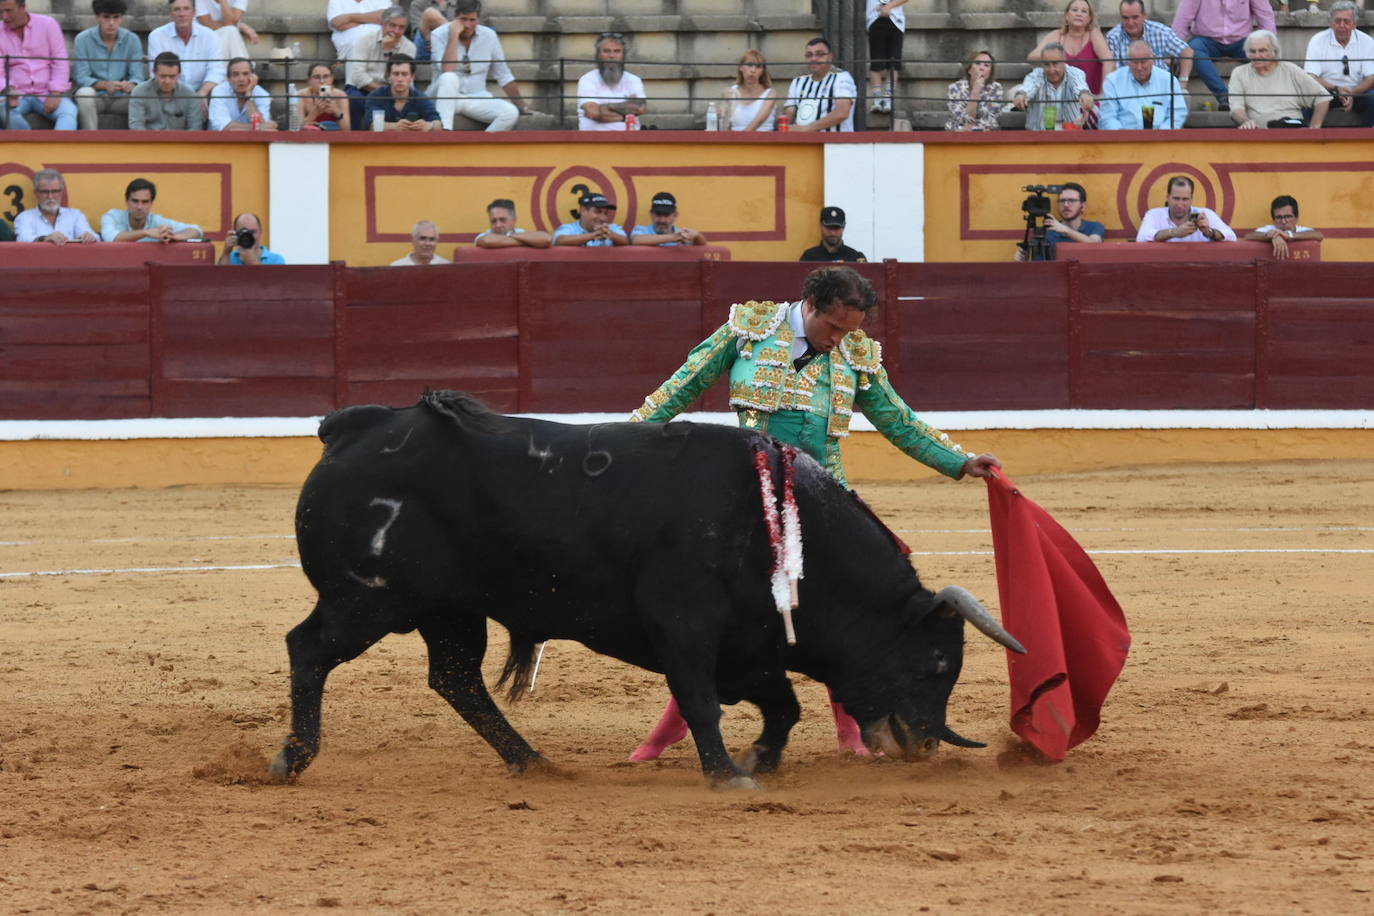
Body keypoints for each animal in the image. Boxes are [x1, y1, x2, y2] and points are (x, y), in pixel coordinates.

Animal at [270, 390, 1022, 791]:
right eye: (936, 663)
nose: (924, 745)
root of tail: (353, 429)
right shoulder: (685, 624)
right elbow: (701, 701)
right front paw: (725, 772)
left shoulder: (749, 645)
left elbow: (781, 707)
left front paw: (758, 759)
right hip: (365, 599)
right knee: (308, 649)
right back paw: (290, 758)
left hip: (448, 610)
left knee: (456, 680)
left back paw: (532, 761)